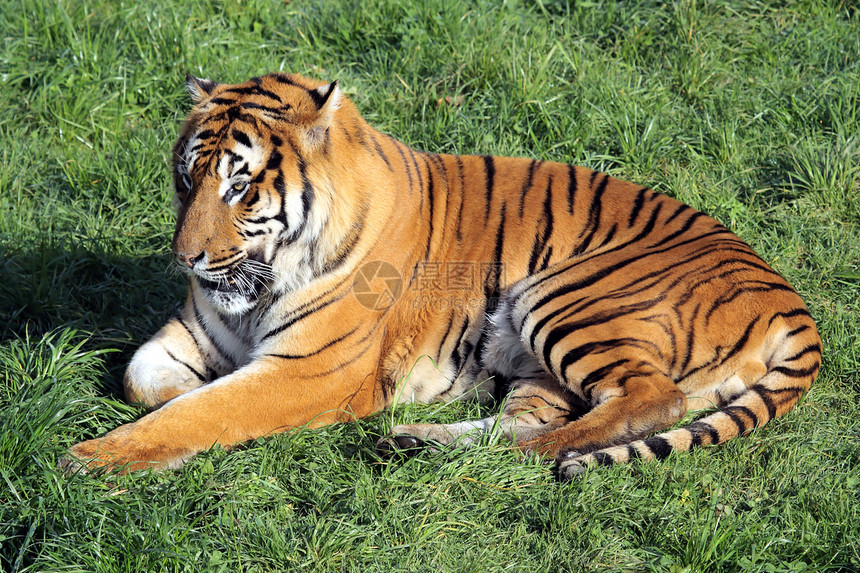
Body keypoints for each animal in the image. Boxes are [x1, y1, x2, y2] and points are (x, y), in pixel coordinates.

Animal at [65, 72, 820, 478]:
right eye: (186, 178)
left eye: (241, 187)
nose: (185, 258)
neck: (256, 283)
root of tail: (787, 298)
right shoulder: (196, 335)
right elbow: (145, 379)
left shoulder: (310, 370)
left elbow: (207, 408)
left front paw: (91, 458)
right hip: (541, 358)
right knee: (526, 420)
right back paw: (416, 442)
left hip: (567, 296)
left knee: (649, 400)